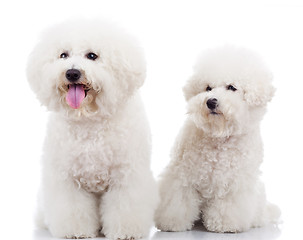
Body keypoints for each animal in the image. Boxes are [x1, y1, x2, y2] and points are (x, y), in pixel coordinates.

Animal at [27, 19, 159, 240]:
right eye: (63, 55)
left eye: (92, 56)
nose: (72, 73)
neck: (89, 119)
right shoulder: (67, 178)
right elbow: (73, 209)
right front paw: (75, 231)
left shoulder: (126, 175)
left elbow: (125, 207)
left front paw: (125, 232)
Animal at [156, 46, 282, 233]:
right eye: (208, 88)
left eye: (231, 87)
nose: (211, 101)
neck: (219, 138)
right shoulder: (182, 176)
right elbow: (178, 201)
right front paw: (172, 223)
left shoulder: (234, 184)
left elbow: (228, 206)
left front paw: (225, 225)